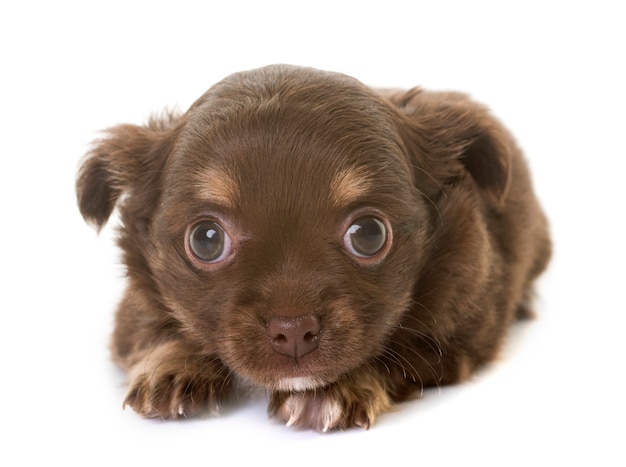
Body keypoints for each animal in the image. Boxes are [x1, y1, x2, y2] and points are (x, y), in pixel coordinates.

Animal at [75, 64, 548, 434]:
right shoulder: (134, 310)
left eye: (369, 234)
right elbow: (159, 327)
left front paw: (336, 389)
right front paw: (174, 367)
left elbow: (396, 353)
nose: (293, 329)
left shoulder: (456, 334)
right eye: (206, 240)